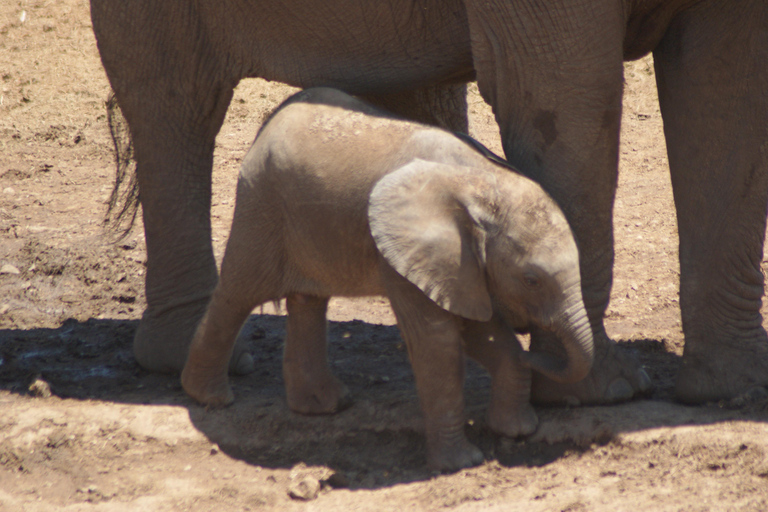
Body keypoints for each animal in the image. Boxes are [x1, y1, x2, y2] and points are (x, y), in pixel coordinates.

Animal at [180, 88, 594, 471]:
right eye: (531, 280)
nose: (537, 348)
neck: (484, 182)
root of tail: (269, 123)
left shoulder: (463, 265)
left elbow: (480, 330)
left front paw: (518, 430)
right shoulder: (408, 254)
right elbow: (439, 343)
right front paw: (462, 463)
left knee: (307, 301)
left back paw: (325, 405)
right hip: (260, 203)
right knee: (238, 293)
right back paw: (209, 398)